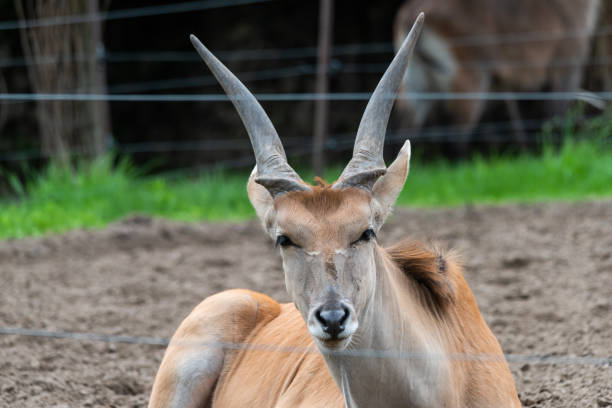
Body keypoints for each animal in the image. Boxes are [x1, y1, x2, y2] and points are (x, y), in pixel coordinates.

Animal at [394, 0, 600, 147]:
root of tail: (410, 14)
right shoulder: (567, 66)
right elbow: (555, 117)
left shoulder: (507, 83)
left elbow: (517, 119)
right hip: (471, 82)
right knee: (456, 135)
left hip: (415, 85)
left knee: (404, 131)